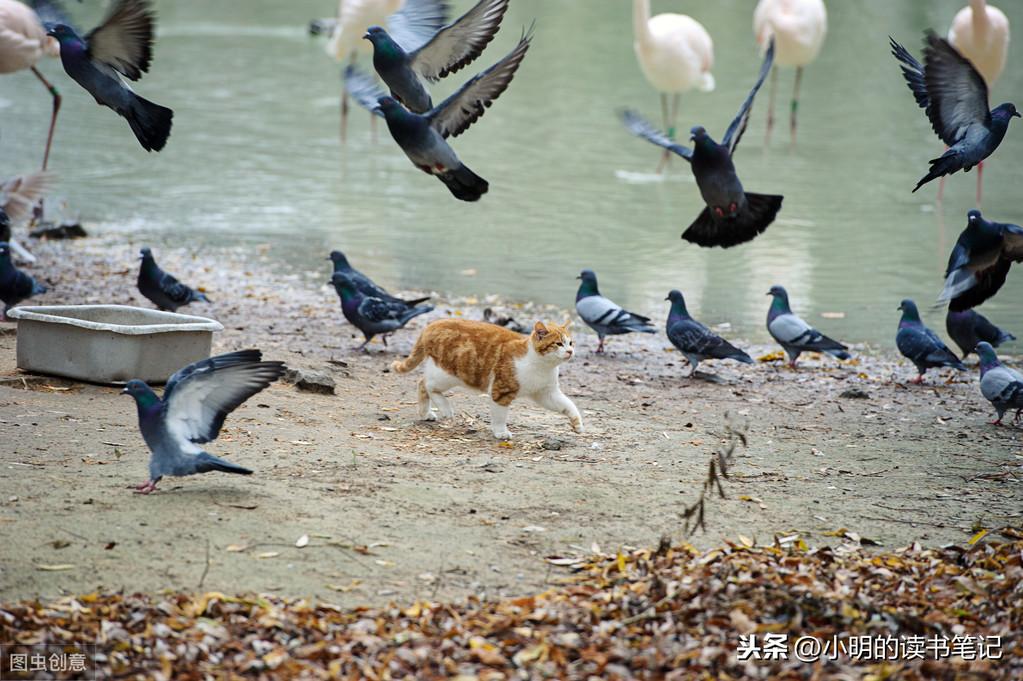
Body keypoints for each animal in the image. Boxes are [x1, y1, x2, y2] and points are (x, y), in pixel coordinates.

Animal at [390, 314, 585, 437]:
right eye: (558, 344)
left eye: (571, 342)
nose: (570, 351)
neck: (543, 366)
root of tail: (432, 325)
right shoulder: (501, 391)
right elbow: (499, 416)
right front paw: (500, 432)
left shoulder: (546, 393)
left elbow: (567, 404)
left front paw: (577, 423)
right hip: (448, 374)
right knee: (428, 385)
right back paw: (445, 409)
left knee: (421, 383)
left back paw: (425, 413)